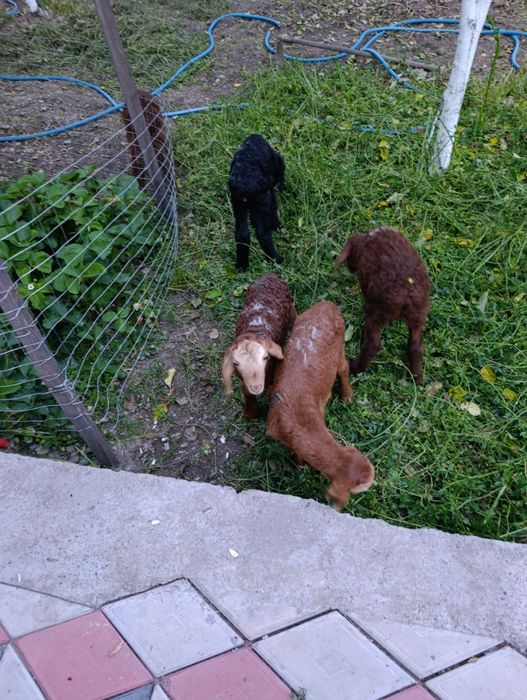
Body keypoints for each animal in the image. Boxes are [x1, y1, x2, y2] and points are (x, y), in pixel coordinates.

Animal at [222, 273, 296, 418]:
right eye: (236, 363)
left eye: (265, 358)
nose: (256, 387)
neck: (254, 330)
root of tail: (270, 274)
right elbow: (246, 392)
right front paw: (249, 412)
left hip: (291, 310)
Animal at [228, 134, 285, 272]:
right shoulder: (268, 194)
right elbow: (274, 206)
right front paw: (277, 226)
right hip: (261, 203)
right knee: (262, 233)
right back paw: (276, 259)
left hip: (238, 205)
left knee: (242, 234)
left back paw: (241, 265)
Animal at [266, 301, 374, 510]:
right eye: (363, 487)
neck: (298, 417)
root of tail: (328, 304)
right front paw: (299, 467)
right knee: (344, 367)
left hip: (339, 345)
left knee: (344, 367)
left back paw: (346, 397)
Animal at [337, 227, 431, 384]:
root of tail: (407, 294)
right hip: (419, 314)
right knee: (416, 346)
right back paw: (417, 379)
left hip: (377, 311)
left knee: (373, 344)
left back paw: (355, 367)